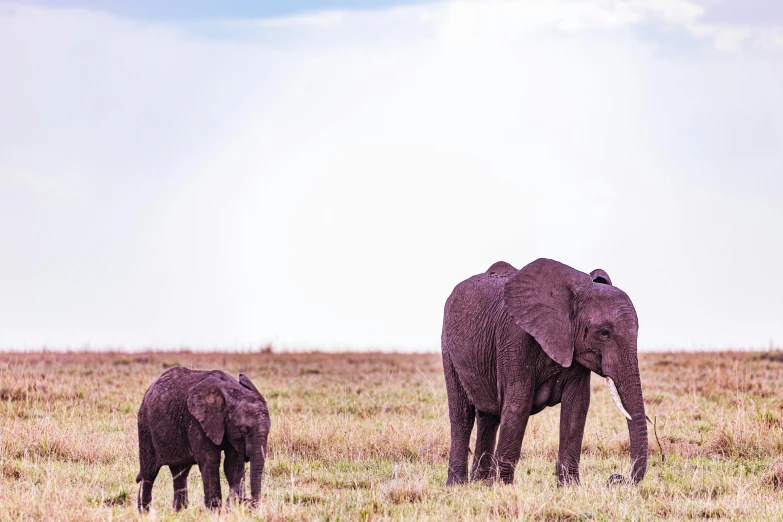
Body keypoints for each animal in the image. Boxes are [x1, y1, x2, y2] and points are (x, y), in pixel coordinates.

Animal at [135, 368, 270, 510]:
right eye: (244, 432)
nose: (246, 501)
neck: (233, 392)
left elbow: (233, 464)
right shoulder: (196, 421)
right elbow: (210, 461)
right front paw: (214, 510)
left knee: (180, 473)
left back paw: (178, 511)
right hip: (145, 426)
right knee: (149, 472)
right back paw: (145, 512)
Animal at [440, 258, 648, 486]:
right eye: (604, 333)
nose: (615, 478)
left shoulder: (572, 345)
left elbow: (577, 405)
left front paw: (569, 487)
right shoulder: (514, 338)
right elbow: (518, 403)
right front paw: (503, 487)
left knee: (488, 417)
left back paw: (481, 483)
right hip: (447, 346)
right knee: (462, 415)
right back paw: (458, 484)